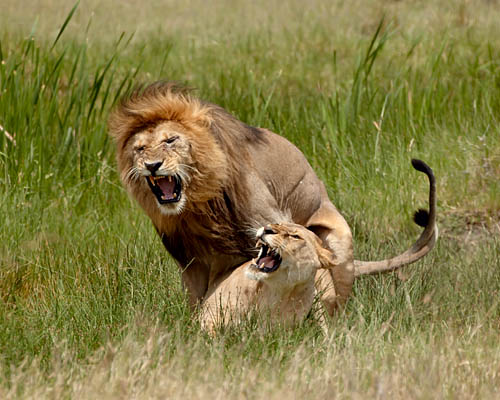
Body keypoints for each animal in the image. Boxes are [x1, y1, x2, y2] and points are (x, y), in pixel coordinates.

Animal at [107, 81, 436, 316]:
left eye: (171, 140)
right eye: (139, 148)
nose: (152, 165)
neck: (200, 206)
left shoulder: (272, 223)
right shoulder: (190, 262)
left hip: (340, 247)